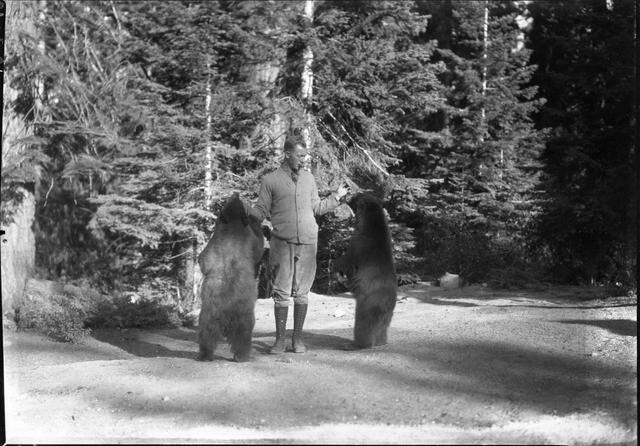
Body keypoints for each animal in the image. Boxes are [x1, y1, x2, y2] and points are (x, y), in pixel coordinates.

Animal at [197, 193, 264, 362]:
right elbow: (258, 244)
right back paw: (242, 356)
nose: (236, 194)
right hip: (242, 315)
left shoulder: (216, 239)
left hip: (210, 314)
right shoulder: (245, 236)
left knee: (207, 334)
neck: (233, 226)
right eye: (233, 202)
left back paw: (206, 355)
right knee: (242, 335)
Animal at [335, 193, 397, 348]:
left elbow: (347, 260)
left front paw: (337, 267)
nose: (349, 196)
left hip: (368, 305)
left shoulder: (359, 243)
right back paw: (381, 341)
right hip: (386, 313)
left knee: (363, 325)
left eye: (357, 198)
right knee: (382, 327)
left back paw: (355, 344)